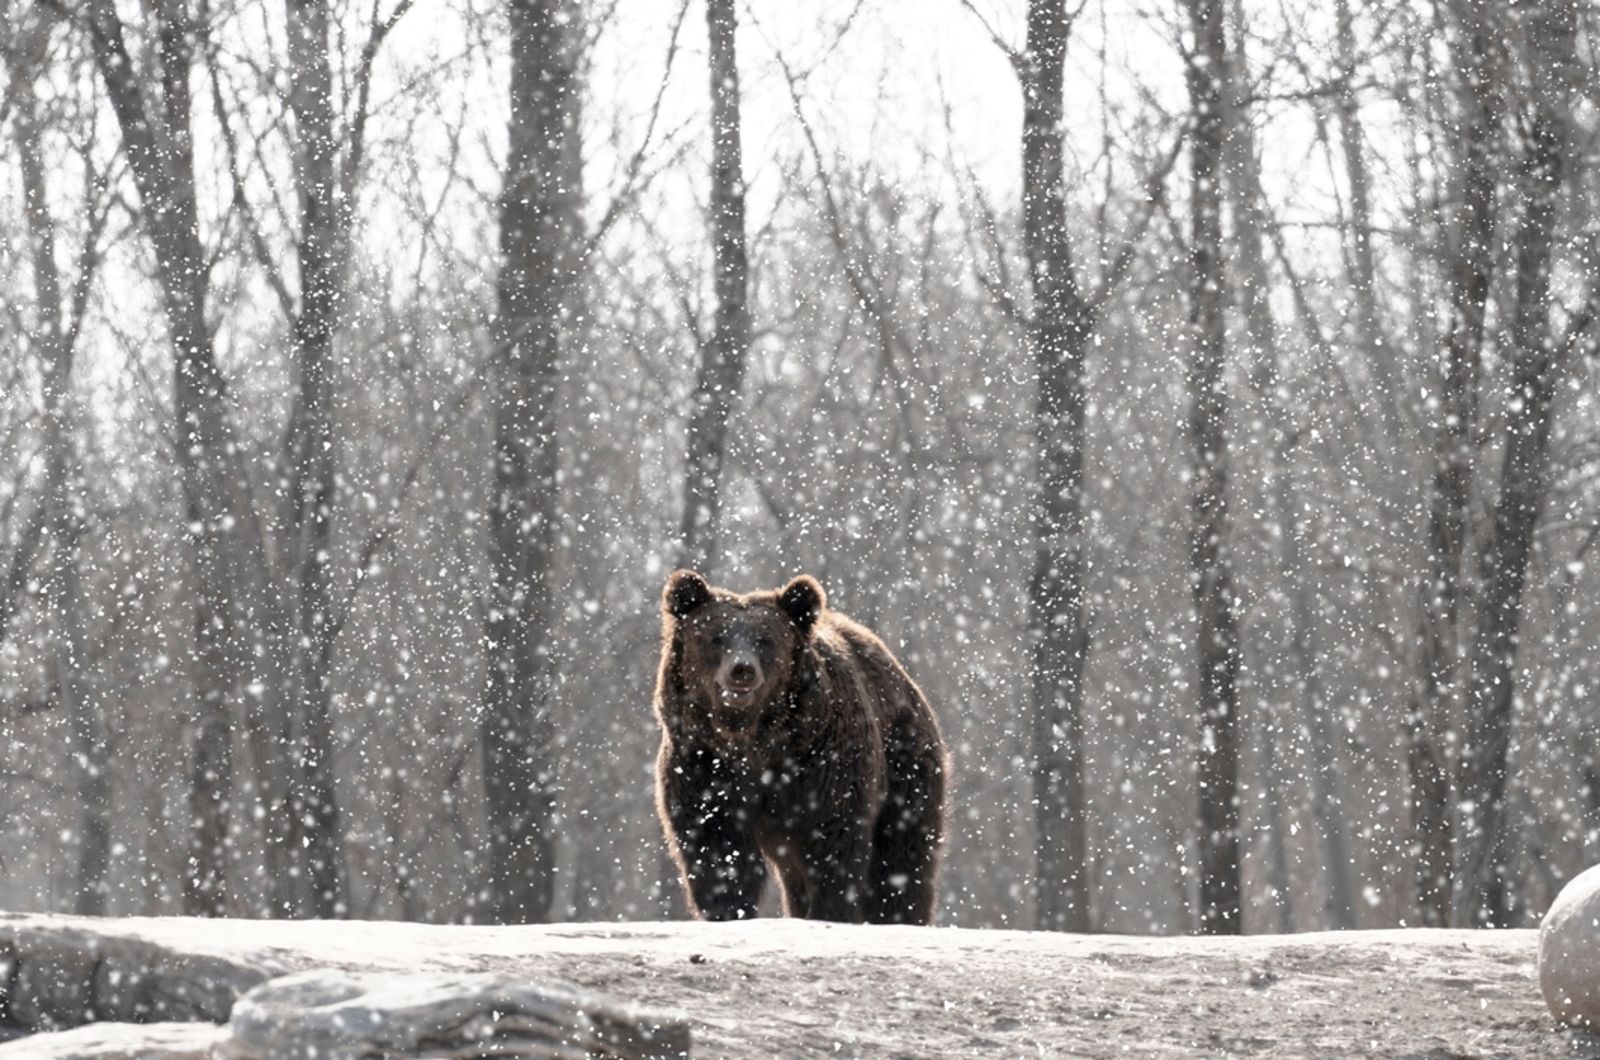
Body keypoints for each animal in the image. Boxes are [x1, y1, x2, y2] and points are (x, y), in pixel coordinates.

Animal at [652, 570, 940, 928]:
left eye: (765, 639)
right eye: (716, 637)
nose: (742, 670)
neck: (756, 742)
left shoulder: (823, 763)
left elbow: (833, 841)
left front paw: (829, 912)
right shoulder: (702, 763)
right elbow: (717, 844)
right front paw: (729, 911)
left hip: (905, 767)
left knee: (900, 857)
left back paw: (899, 916)